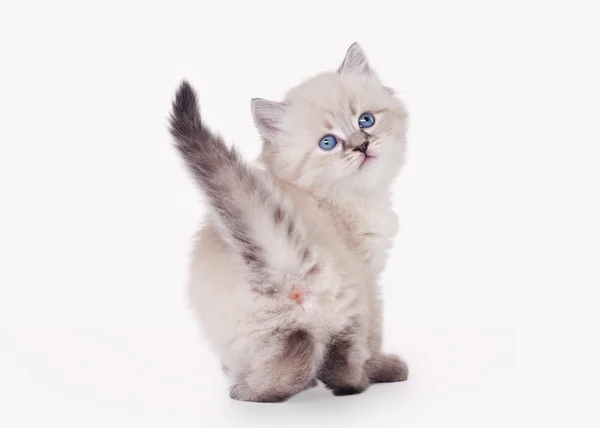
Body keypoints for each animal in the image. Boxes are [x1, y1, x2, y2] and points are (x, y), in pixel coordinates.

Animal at [169, 43, 412, 402]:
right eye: (328, 143)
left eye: (365, 120)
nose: (361, 145)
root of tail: (282, 267)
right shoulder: (369, 278)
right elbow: (375, 335)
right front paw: (382, 365)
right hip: (349, 303)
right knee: (343, 364)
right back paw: (359, 378)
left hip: (258, 337)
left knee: (285, 367)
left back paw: (250, 388)